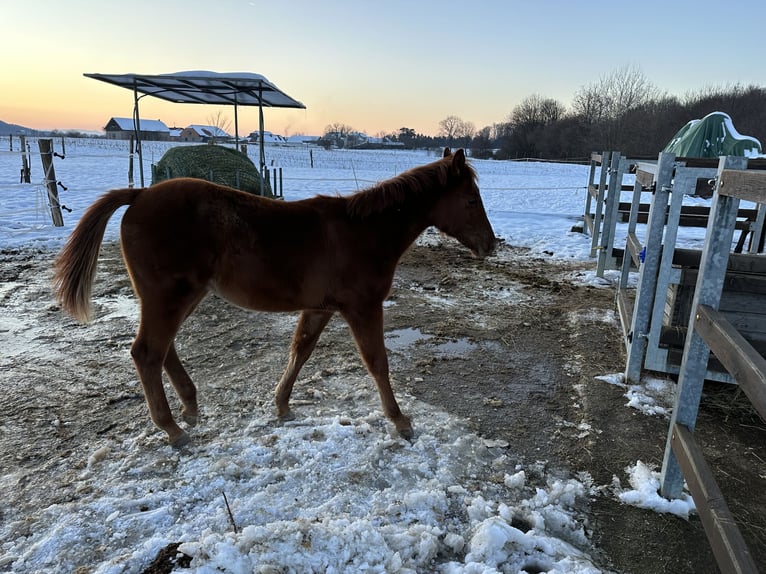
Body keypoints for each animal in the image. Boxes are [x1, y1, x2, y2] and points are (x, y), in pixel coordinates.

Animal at [54, 148, 496, 447]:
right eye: (471, 200)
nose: (490, 245)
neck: (363, 234)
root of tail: (140, 194)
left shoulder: (319, 308)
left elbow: (300, 350)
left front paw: (281, 405)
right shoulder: (362, 307)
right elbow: (377, 362)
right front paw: (400, 421)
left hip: (180, 296)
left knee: (163, 349)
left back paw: (190, 408)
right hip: (170, 296)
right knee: (147, 352)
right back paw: (173, 429)